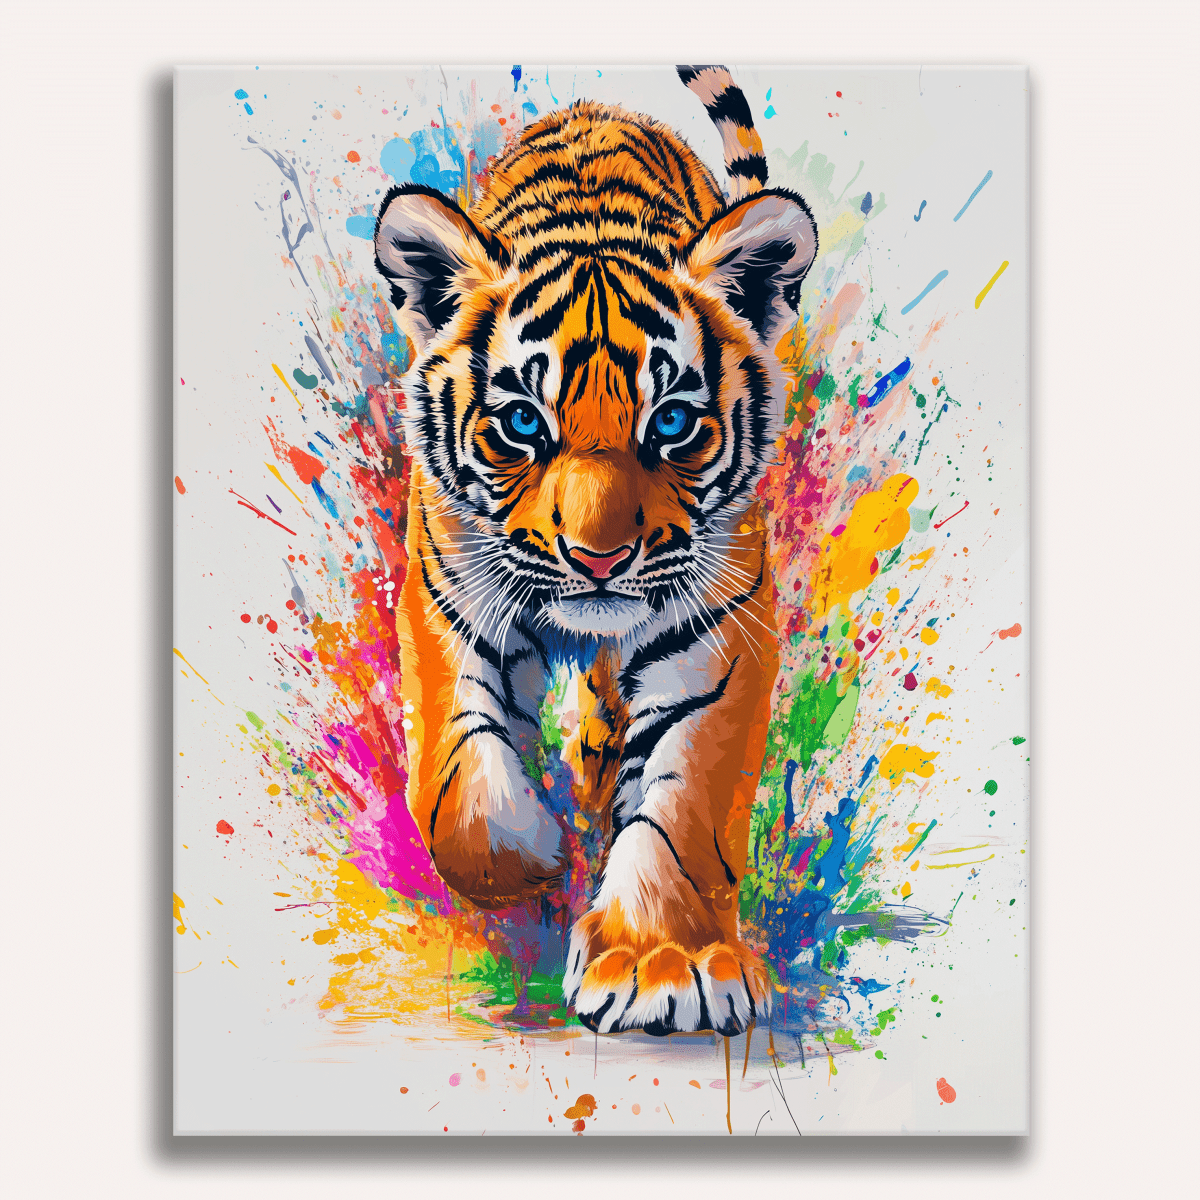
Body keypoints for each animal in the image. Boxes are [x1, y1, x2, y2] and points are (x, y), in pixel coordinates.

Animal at [373, 65, 817, 1037]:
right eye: (521, 423)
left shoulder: (720, 634)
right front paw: (537, 859)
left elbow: (684, 803)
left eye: (674, 423)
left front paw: (658, 960)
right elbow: (456, 782)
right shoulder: (446, 595)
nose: (599, 559)